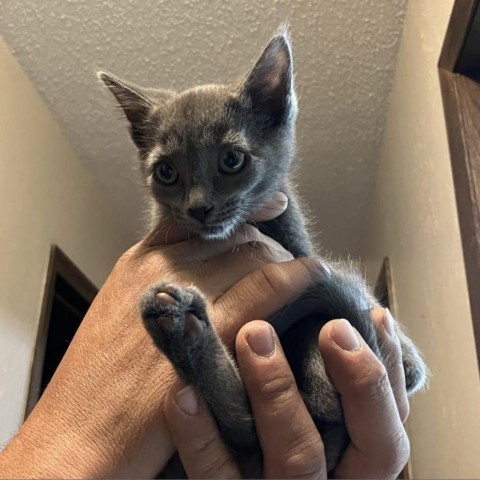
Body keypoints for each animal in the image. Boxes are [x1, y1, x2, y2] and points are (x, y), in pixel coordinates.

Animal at [98, 31, 428, 478]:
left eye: (232, 160)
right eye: (166, 172)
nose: (198, 208)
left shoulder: (298, 246)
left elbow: (321, 313)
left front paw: (401, 359)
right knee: (244, 429)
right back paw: (180, 327)